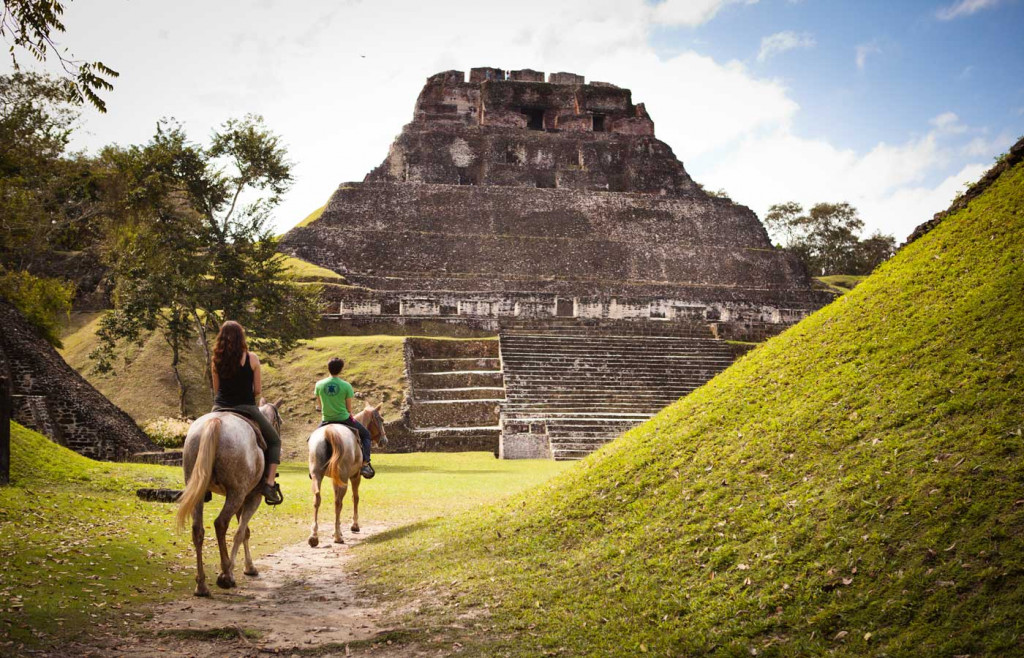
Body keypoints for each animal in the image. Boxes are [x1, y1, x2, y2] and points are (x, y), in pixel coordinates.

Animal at [174, 397, 282, 597]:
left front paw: (249, 567)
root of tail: (215, 422)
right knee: (221, 523)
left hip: (200, 491)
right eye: (279, 422)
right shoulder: (252, 497)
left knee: (197, 530)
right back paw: (225, 574)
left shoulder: (243, 498)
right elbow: (240, 532)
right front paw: (235, 570)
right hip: (236, 494)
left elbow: (245, 532)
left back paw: (201, 585)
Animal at [307, 403, 387, 548]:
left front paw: (337, 529)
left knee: (318, 499)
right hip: (345, 478)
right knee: (339, 503)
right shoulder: (355, 476)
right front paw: (354, 526)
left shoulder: (335, 479)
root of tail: (330, 431)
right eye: (381, 419)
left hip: (317, 476)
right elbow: (355, 498)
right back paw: (338, 537)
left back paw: (314, 536)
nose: (385, 440)